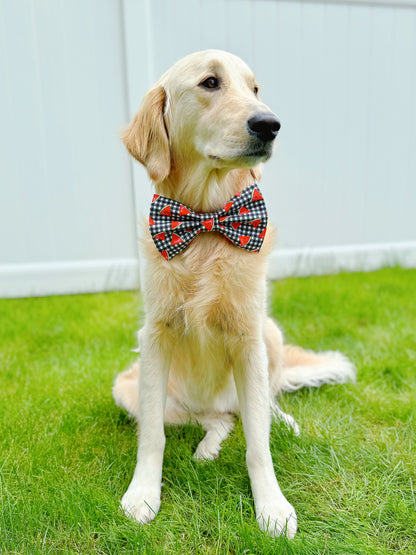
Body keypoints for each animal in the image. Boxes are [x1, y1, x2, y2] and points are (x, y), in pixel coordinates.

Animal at [112, 48, 356, 540]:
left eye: (255, 89)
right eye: (210, 83)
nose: (270, 124)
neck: (206, 224)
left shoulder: (248, 338)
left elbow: (259, 443)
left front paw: (272, 507)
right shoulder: (155, 338)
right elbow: (152, 436)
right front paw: (143, 494)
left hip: (270, 335)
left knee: (261, 405)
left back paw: (283, 420)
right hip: (128, 387)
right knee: (219, 419)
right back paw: (208, 446)